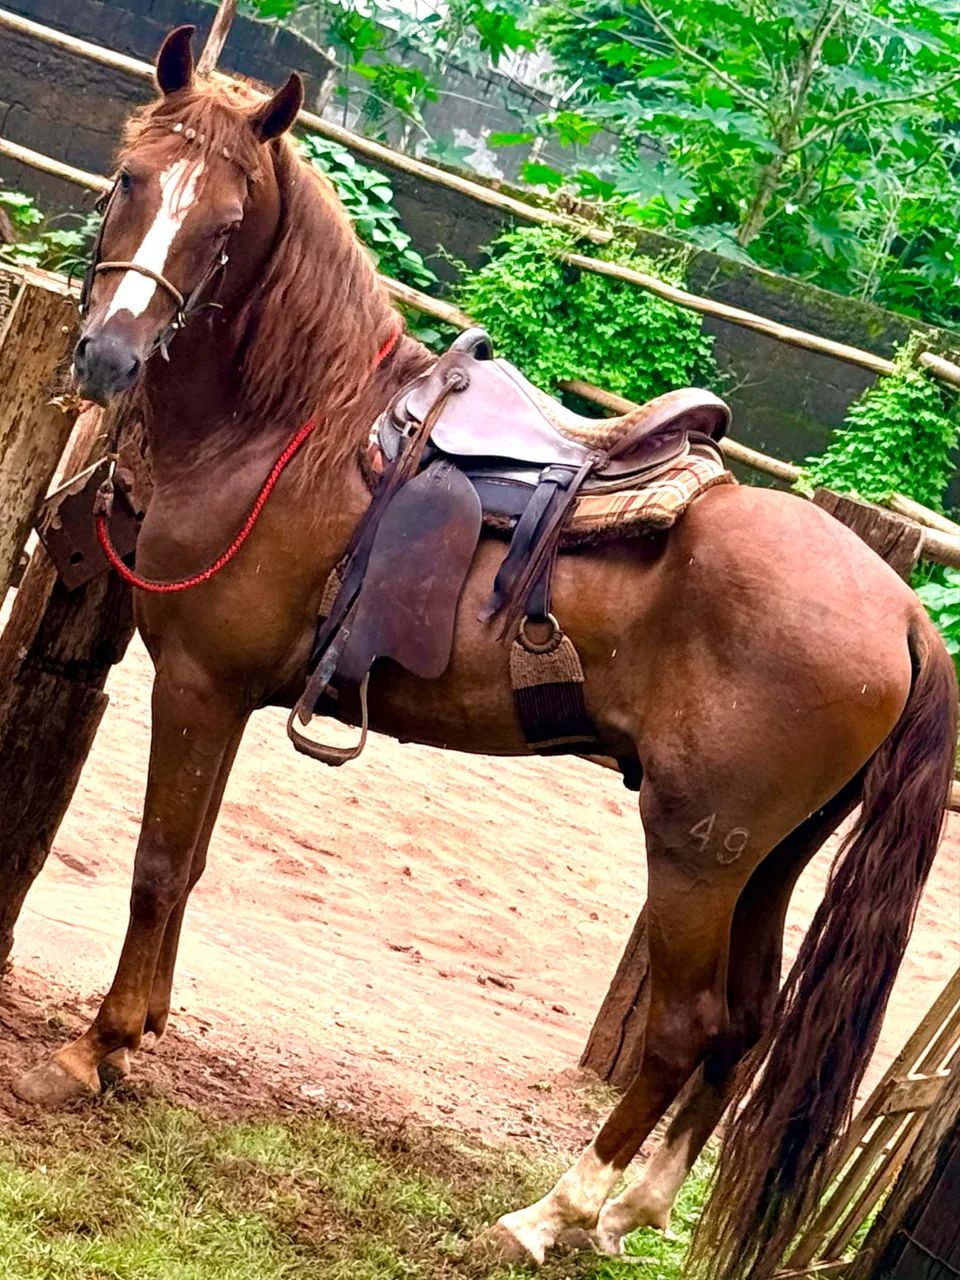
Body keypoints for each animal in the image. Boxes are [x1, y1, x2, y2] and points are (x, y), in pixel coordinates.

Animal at [13, 27, 956, 1280]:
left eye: (227, 223)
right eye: (131, 179)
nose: (111, 357)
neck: (292, 427)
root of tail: (904, 610)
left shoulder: (201, 685)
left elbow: (160, 863)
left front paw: (100, 1047)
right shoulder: (230, 692)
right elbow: (194, 859)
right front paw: (144, 1030)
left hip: (698, 847)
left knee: (689, 1025)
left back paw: (552, 1210)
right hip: (775, 854)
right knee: (750, 1020)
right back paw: (633, 1205)